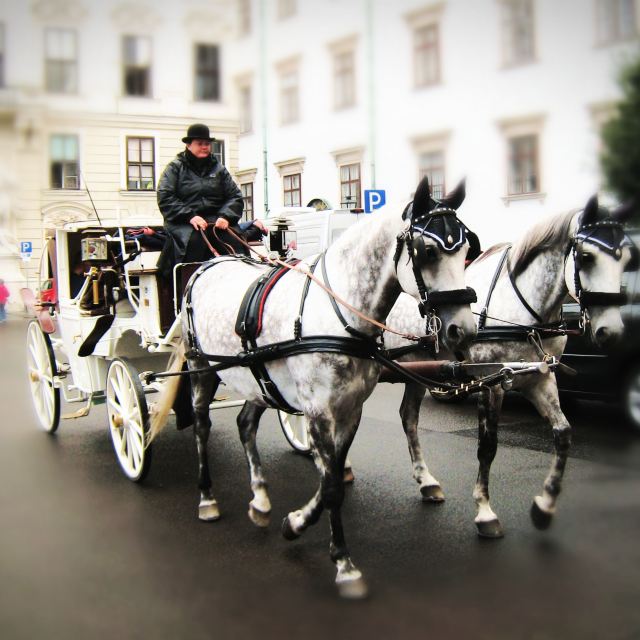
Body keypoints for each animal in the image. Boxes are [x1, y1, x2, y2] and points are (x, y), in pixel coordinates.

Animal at [150, 178, 478, 596]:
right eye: (429, 251)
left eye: (466, 249)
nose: (463, 330)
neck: (339, 313)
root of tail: (206, 265)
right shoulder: (319, 411)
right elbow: (333, 485)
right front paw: (343, 562)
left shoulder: (350, 409)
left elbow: (331, 475)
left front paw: (295, 523)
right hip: (202, 368)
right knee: (202, 427)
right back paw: (207, 497)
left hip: (258, 378)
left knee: (245, 424)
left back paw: (260, 498)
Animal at [384, 198, 636, 536]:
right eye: (586, 256)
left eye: (627, 259)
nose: (613, 332)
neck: (523, 308)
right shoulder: (491, 382)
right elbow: (488, 446)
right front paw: (485, 512)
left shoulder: (539, 378)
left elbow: (564, 434)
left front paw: (545, 505)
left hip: (415, 371)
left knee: (409, 418)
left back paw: (426, 482)